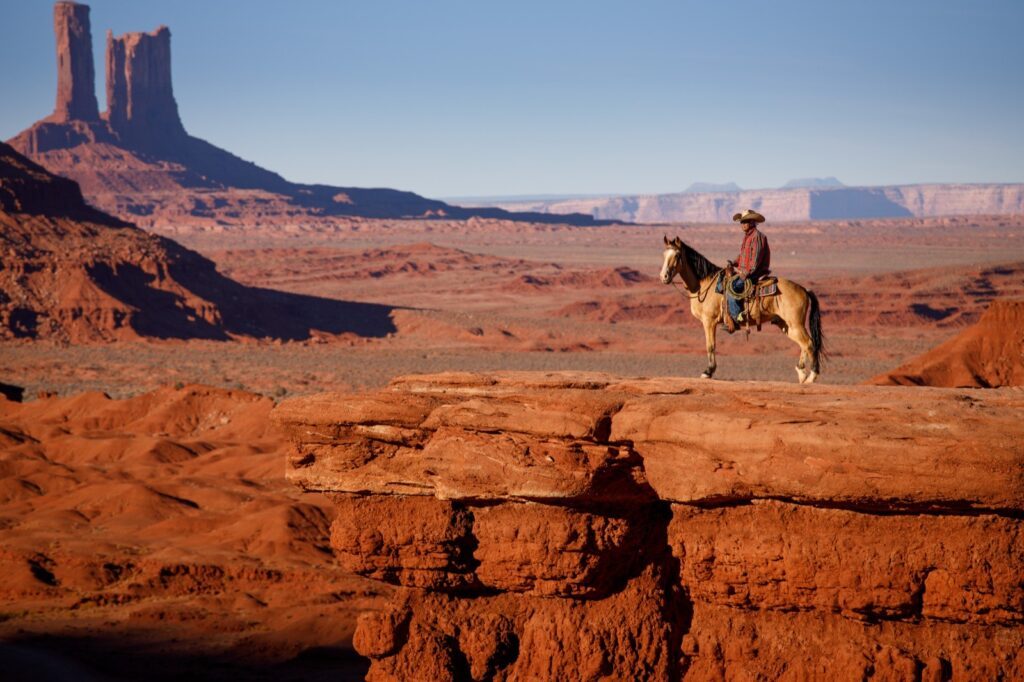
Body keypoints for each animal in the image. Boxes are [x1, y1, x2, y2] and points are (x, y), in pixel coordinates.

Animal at [663, 233, 823, 382]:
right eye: (664, 255)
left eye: (677, 255)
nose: (664, 276)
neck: (704, 284)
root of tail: (803, 289)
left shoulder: (709, 321)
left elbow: (710, 345)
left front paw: (708, 372)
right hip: (786, 325)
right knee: (803, 344)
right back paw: (801, 374)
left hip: (795, 324)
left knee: (809, 343)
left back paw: (811, 377)